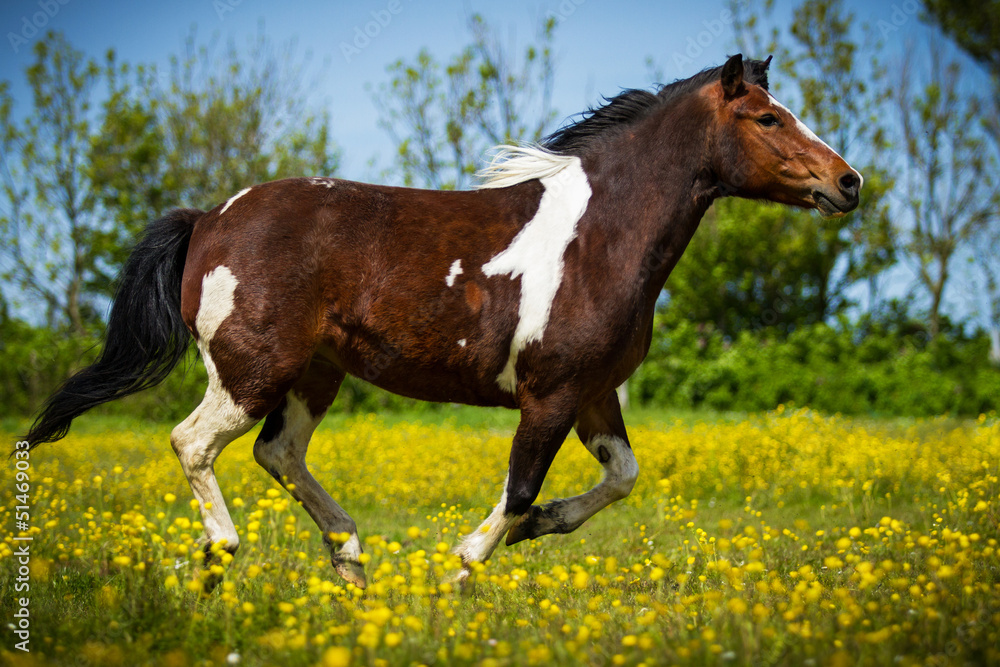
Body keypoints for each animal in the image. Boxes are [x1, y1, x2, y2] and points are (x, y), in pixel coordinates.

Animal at [24, 54, 861, 589]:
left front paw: (540, 526)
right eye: (767, 118)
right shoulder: (550, 395)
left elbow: (619, 477)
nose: (848, 182)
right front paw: (461, 567)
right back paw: (220, 554)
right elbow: (519, 487)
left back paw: (351, 558)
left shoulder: (595, 392)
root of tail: (210, 219)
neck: (598, 236)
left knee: (279, 453)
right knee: (193, 442)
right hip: (250, 371)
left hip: (314, 374)